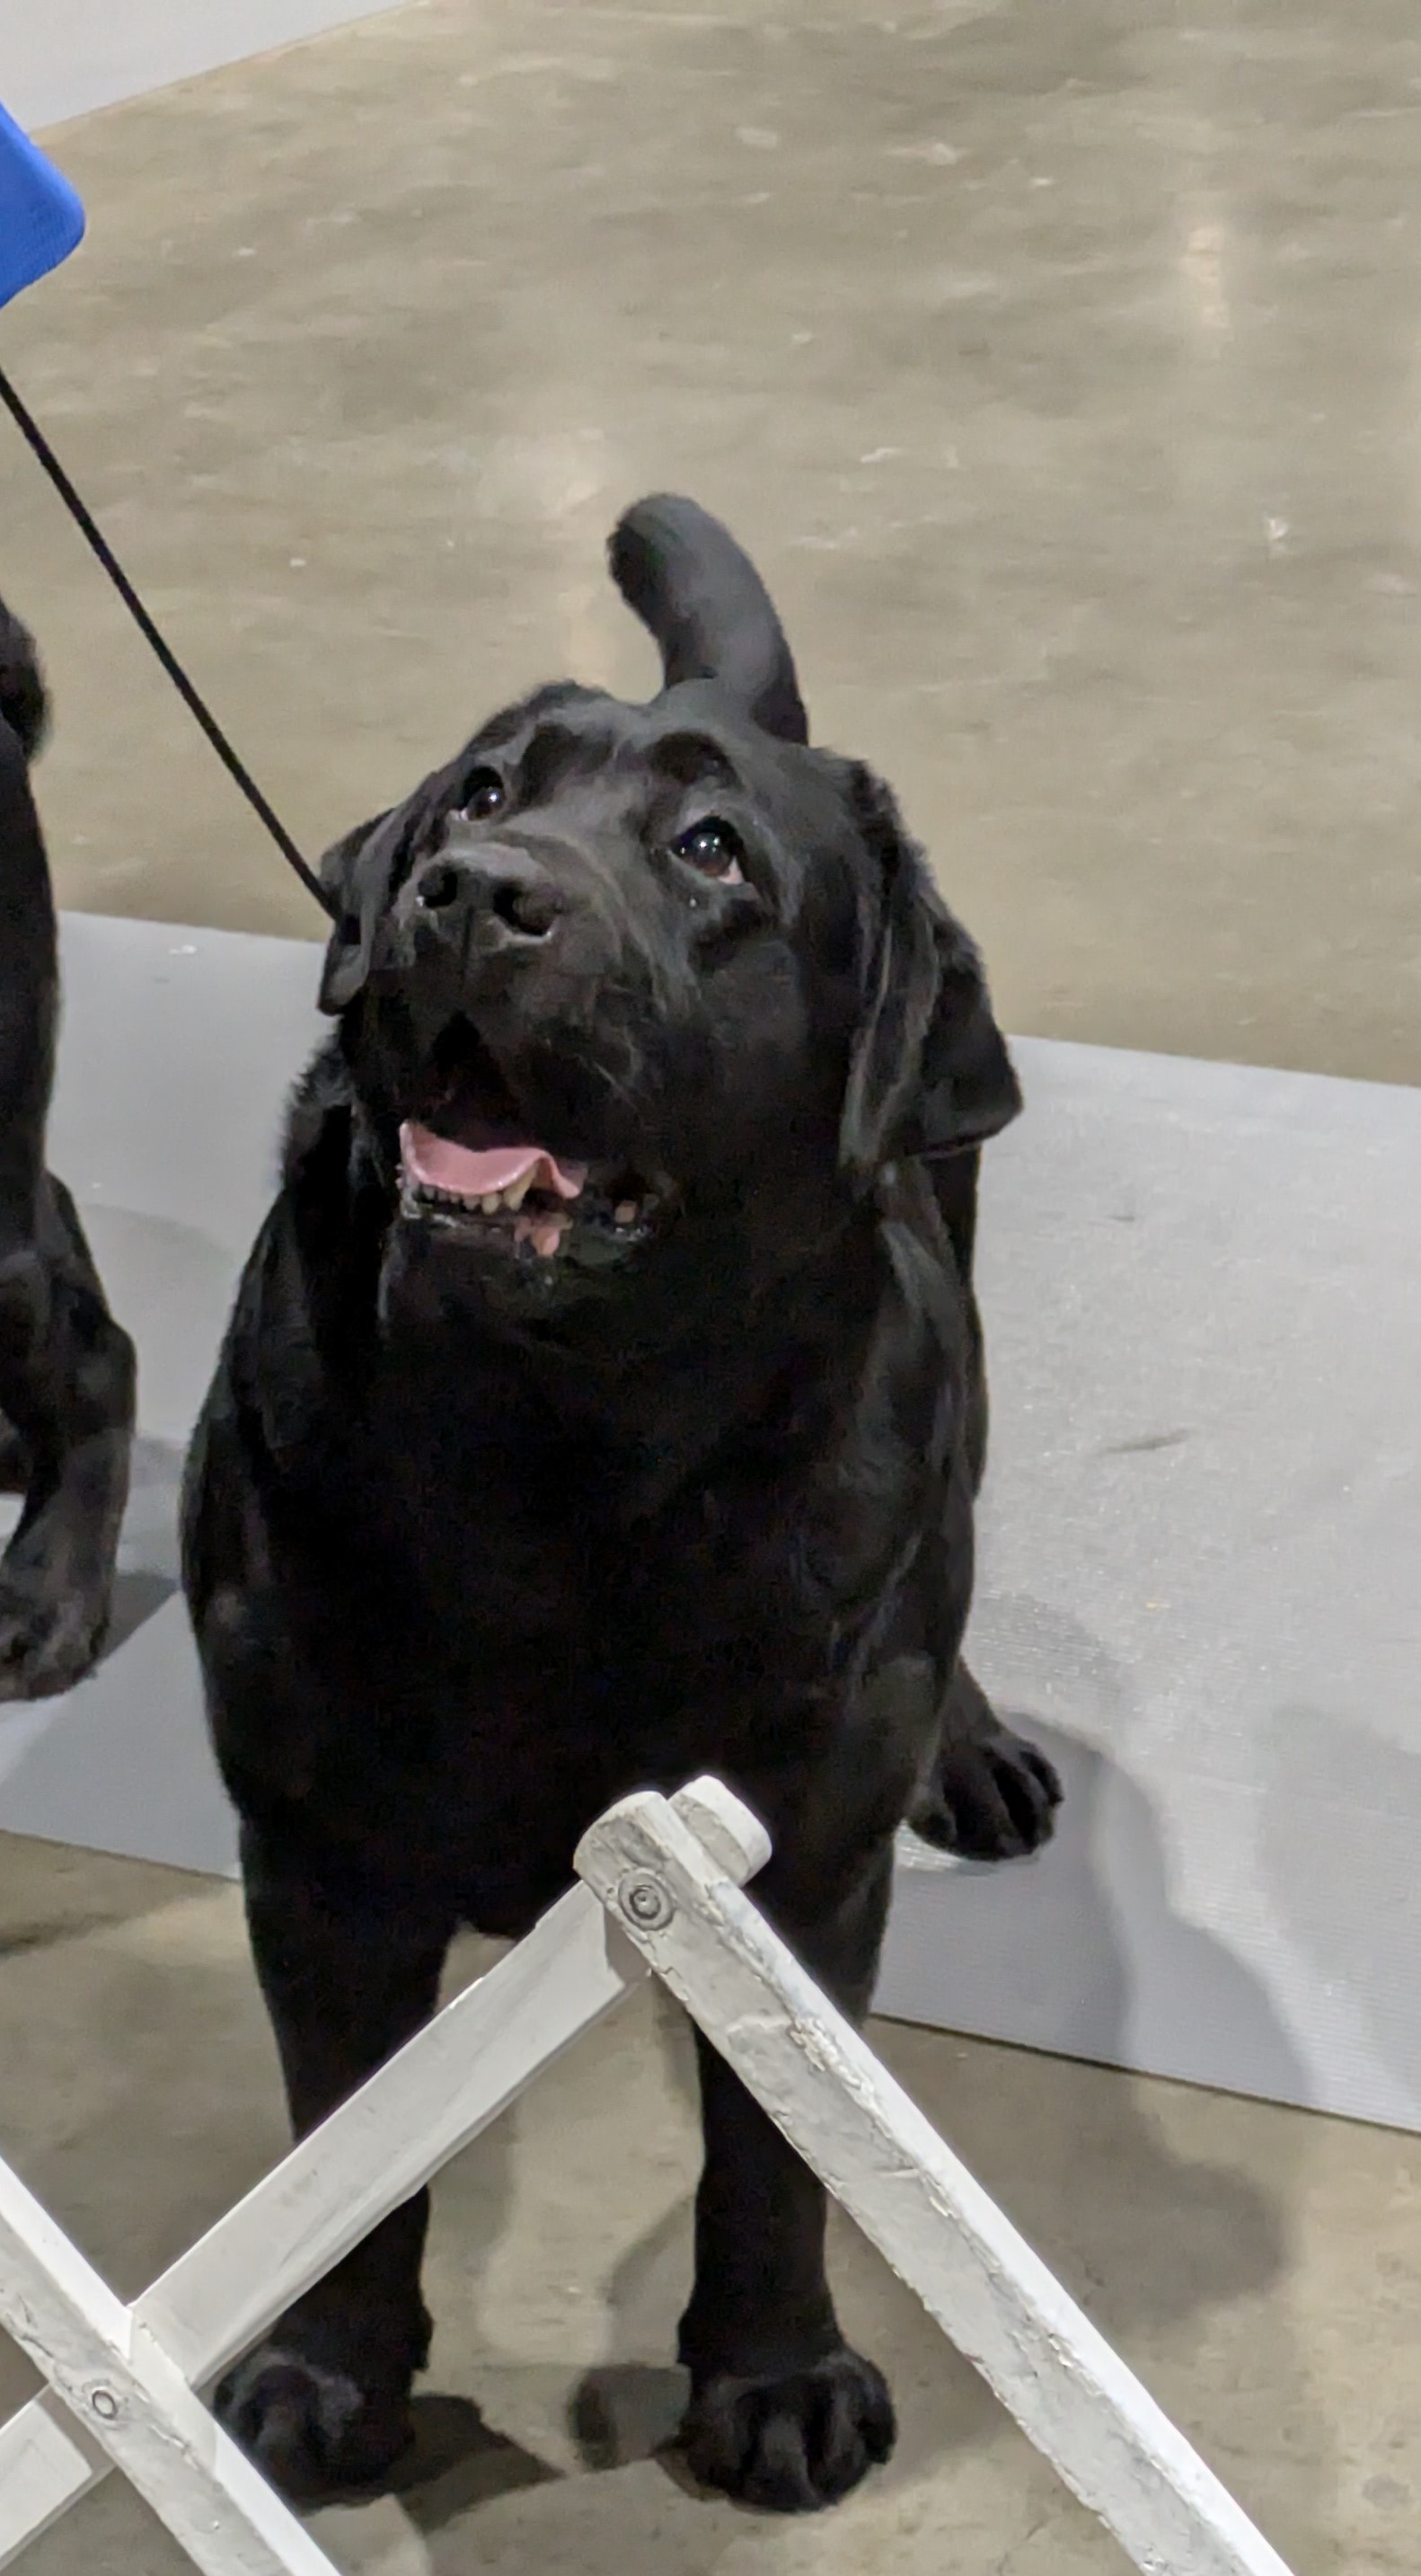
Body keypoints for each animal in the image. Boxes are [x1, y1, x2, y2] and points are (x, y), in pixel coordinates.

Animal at [185, 502, 1055, 2514]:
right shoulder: (315, 1856)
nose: (466, 891)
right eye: (481, 791)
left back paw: (970, 1743)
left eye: (710, 849)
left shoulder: (789, 1869)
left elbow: (773, 2159)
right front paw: (326, 2375)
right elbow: (339, 2156)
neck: (562, 1443)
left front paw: (776, 2376)